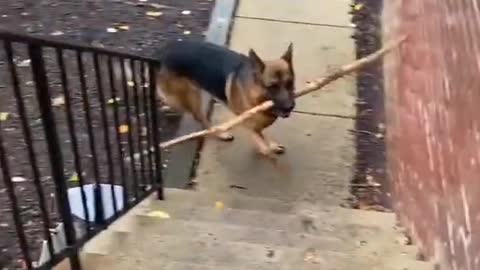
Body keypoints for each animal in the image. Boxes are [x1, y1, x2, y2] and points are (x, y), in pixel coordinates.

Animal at [123, 40, 296, 157]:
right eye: (272, 86)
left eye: (290, 83)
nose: (290, 107)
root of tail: (161, 54)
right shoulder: (248, 121)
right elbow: (258, 136)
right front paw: (265, 147)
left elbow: (262, 132)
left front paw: (271, 144)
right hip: (192, 95)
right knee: (200, 118)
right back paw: (219, 133)